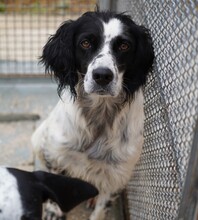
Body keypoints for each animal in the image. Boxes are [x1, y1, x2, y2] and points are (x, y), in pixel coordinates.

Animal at [31, 10, 155, 220]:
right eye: (85, 43)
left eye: (124, 45)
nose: (102, 76)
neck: (99, 115)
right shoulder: (55, 153)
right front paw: (53, 211)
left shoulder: (118, 173)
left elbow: (101, 208)